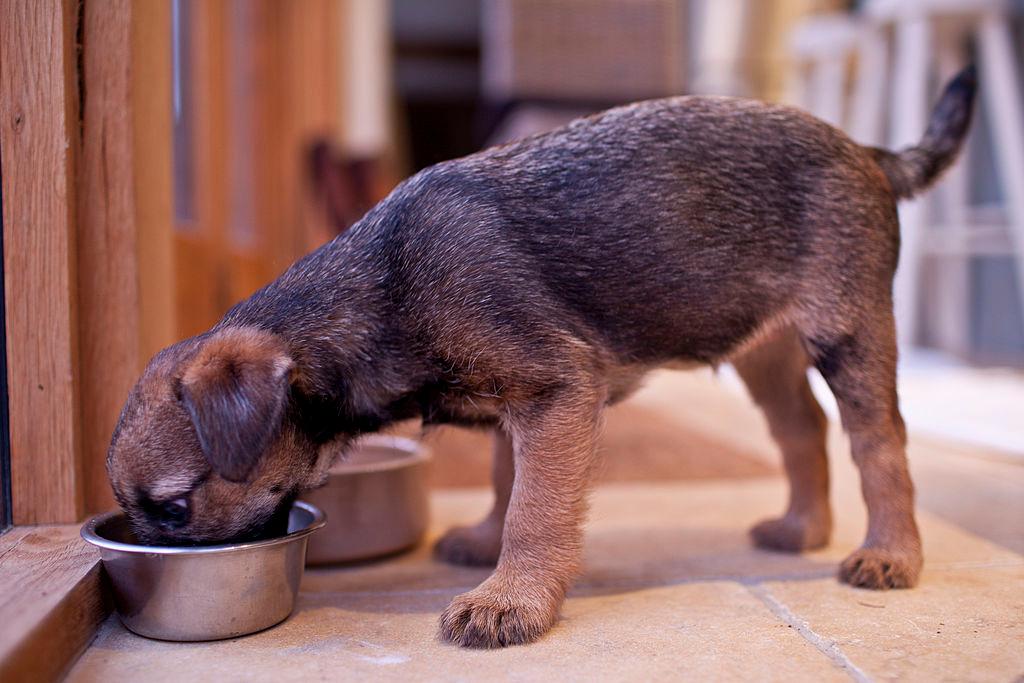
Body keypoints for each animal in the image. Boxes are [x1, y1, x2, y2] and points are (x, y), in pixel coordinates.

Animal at [108, 66, 978, 651]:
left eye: (175, 508)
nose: (150, 559)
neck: (383, 288)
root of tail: (868, 150)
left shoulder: (555, 392)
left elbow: (537, 507)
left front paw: (511, 597)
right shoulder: (515, 403)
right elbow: (507, 480)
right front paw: (487, 541)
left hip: (849, 333)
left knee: (879, 444)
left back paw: (890, 552)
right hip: (764, 350)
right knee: (800, 429)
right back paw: (802, 527)